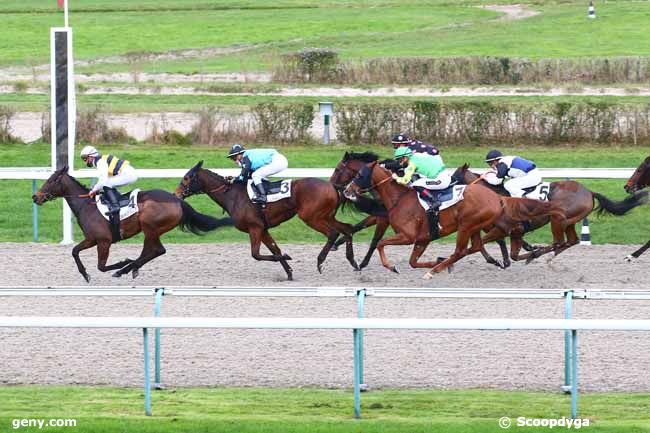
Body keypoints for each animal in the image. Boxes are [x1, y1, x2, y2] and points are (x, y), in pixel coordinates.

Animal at [31, 165, 233, 280]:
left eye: (51, 181)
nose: (35, 197)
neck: (87, 206)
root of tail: (177, 200)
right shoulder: (92, 239)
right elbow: (74, 251)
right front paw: (85, 274)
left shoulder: (103, 241)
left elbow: (101, 266)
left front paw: (122, 263)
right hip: (151, 230)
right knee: (152, 251)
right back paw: (132, 268)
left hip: (149, 226)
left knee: (157, 250)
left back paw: (127, 268)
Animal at [175, 160, 360, 278]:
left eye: (186, 177)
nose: (176, 194)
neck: (233, 195)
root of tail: (332, 185)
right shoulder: (263, 229)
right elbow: (274, 250)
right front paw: (289, 272)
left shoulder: (255, 228)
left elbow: (256, 254)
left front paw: (287, 258)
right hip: (327, 216)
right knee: (347, 228)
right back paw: (353, 262)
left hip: (311, 217)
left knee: (333, 233)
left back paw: (320, 262)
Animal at [342, 161, 564, 276]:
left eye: (359, 174)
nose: (346, 190)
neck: (399, 198)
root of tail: (498, 197)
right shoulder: (422, 239)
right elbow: (413, 262)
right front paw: (436, 260)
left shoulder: (408, 236)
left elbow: (381, 244)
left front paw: (391, 266)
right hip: (475, 226)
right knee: (475, 246)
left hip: (466, 225)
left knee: (461, 250)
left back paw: (437, 270)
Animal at [454, 164, 644, 262]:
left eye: (454, 176)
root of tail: (589, 192)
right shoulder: (505, 230)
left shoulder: (504, 229)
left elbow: (482, 244)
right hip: (569, 220)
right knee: (571, 241)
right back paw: (546, 255)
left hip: (558, 219)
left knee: (560, 241)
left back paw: (539, 254)